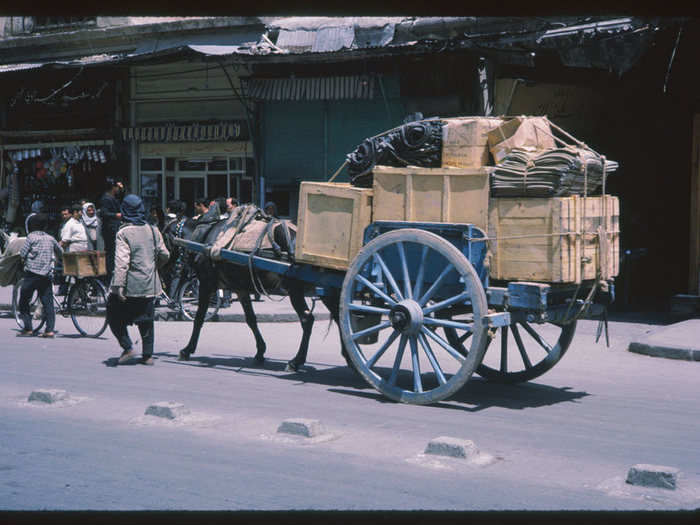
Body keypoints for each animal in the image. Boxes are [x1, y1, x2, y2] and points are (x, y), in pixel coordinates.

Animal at [163, 206, 350, 372]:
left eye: (163, 235)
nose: (166, 267)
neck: (203, 237)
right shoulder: (241, 288)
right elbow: (251, 319)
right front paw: (260, 351)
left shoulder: (206, 283)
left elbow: (199, 318)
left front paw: (187, 349)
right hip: (326, 288)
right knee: (339, 316)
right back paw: (348, 357)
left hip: (295, 289)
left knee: (307, 319)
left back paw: (296, 361)